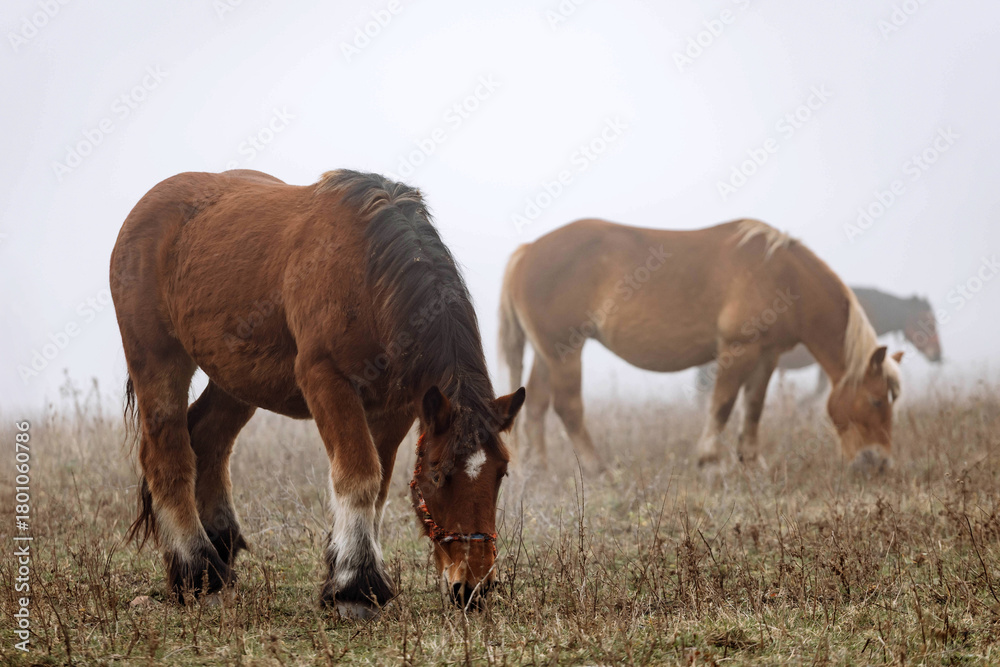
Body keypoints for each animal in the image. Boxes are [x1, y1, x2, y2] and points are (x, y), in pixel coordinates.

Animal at [111, 169, 524, 617]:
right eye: (438, 473)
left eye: (501, 472)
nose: (474, 586)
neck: (367, 272)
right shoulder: (327, 381)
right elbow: (358, 476)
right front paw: (355, 589)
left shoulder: (394, 408)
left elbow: (379, 488)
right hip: (159, 361)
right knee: (169, 458)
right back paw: (199, 573)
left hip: (235, 380)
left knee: (207, 440)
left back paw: (219, 548)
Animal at [499, 218, 902, 470]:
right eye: (876, 400)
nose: (879, 461)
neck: (784, 276)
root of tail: (527, 251)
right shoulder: (738, 349)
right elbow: (722, 404)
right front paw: (709, 459)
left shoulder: (767, 355)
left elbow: (753, 407)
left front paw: (752, 460)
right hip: (565, 351)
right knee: (567, 407)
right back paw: (597, 467)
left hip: (548, 352)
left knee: (536, 404)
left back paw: (539, 468)